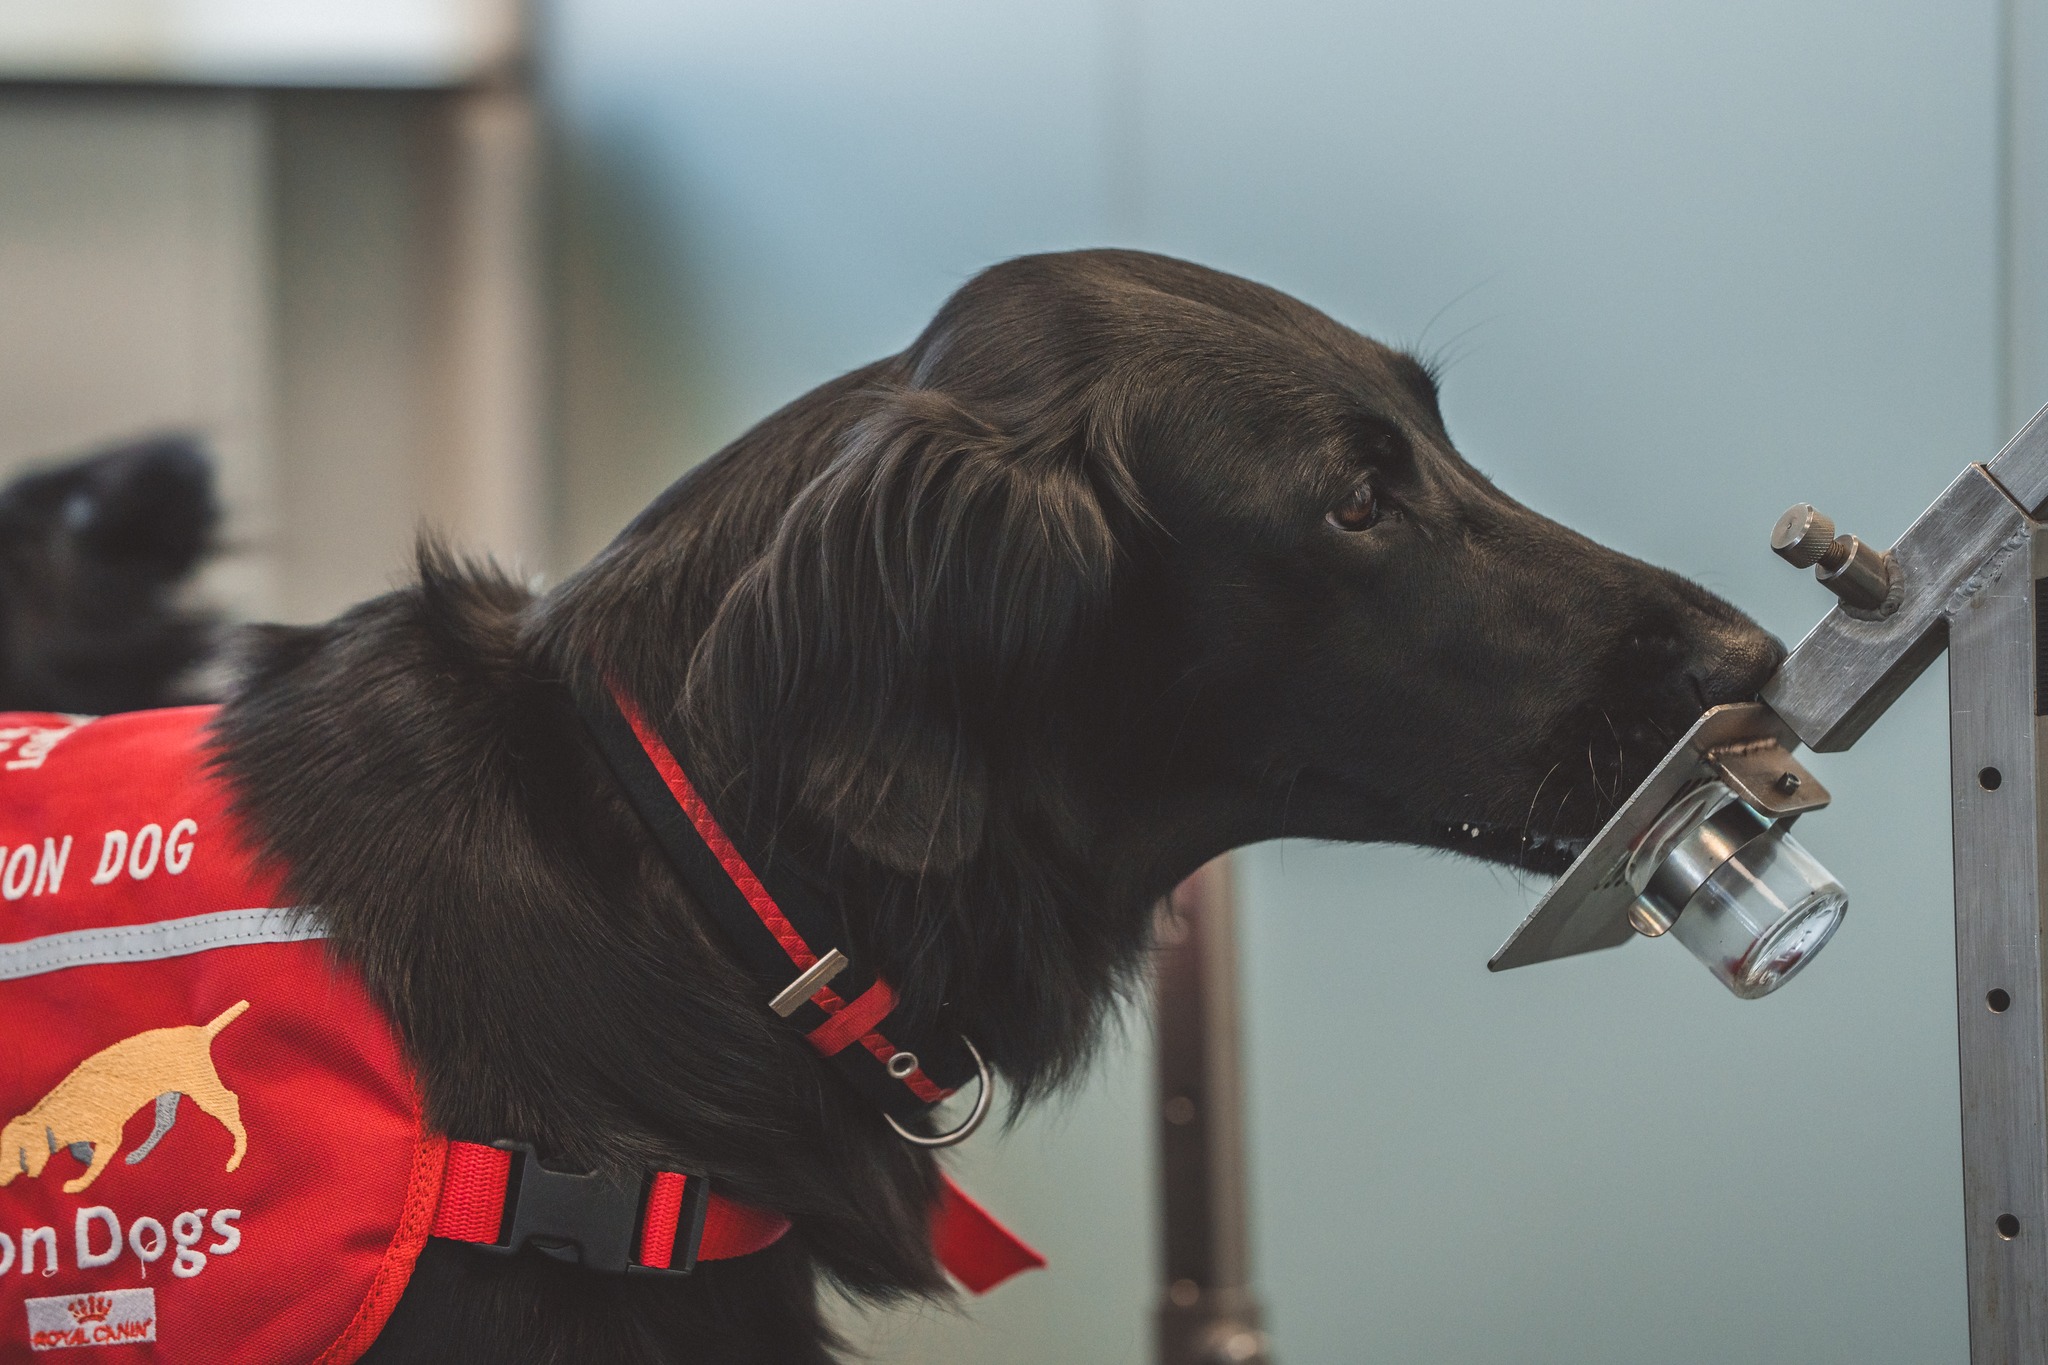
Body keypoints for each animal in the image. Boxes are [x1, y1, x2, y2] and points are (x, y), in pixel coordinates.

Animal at [1, 1002, 248, 1195]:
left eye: (12, 1155)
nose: (3, 1182)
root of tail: (200, 1032)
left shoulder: (109, 1136)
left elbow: (94, 1161)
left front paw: (80, 1182)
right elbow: (82, 1152)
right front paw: (89, 1162)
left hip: (200, 1085)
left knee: (229, 1102)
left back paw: (236, 1156)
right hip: (169, 1093)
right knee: (165, 1121)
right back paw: (138, 1154)